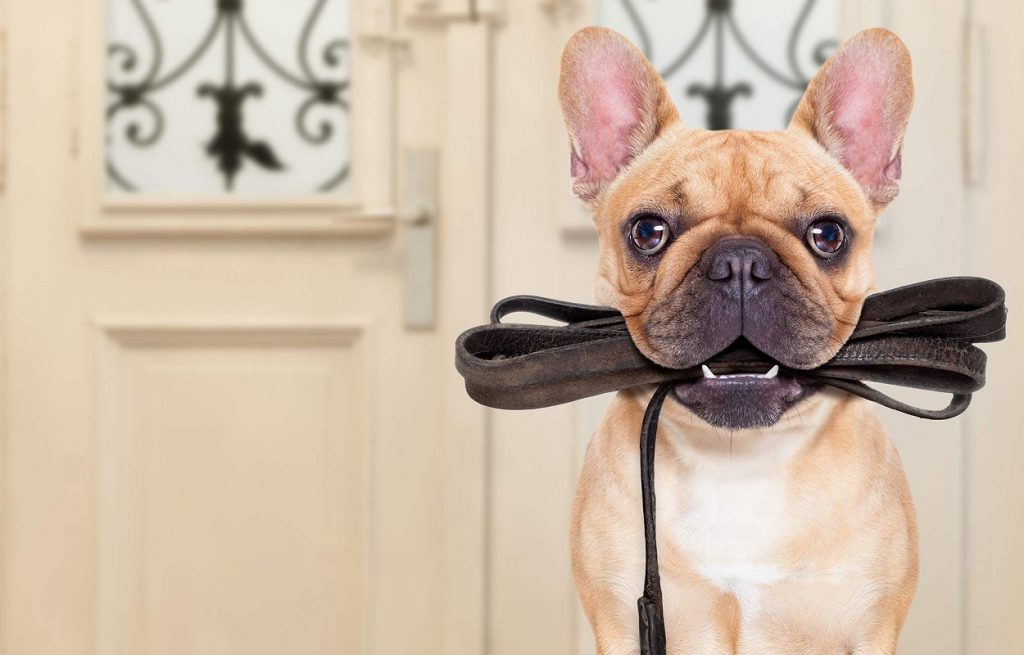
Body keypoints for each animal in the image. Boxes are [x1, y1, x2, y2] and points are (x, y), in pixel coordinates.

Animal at [561, 24, 921, 650]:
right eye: (648, 231)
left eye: (828, 234)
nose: (740, 263)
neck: (739, 461)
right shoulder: (621, 624)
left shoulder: (871, 630)